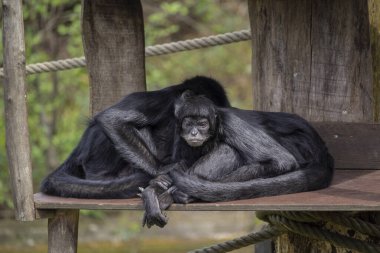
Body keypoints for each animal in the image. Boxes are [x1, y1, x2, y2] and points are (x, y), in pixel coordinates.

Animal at [141, 90, 334, 227]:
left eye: (202, 124)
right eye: (188, 124)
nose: (194, 133)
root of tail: (321, 148)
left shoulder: (230, 122)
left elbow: (282, 160)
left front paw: (172, 191)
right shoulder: (178, 131)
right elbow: (179, 164)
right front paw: (157, 186)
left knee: (229, 149)